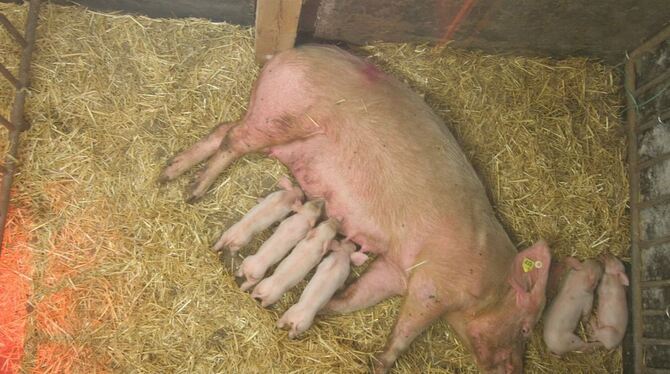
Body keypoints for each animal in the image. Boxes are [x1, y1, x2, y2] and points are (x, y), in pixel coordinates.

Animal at [160, 45, 552, 372]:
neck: (488, 275)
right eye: (525, 329)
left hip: (267, 119)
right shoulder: (434, 282)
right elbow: (407, 328)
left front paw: (326, 305)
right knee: (232, 141)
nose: (515, 369)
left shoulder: (394, 270)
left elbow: (356, 296)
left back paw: (169, 172)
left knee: (222, 130)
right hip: (280, 116)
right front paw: (380, 365)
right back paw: (194, 191)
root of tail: (286, 55)